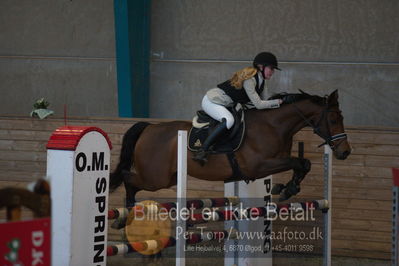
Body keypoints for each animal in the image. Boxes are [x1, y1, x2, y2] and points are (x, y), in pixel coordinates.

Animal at [108, 90, 350, 206]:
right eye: (333, 118)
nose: (345, 152)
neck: (274, 126)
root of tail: (149, 127)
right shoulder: (258, 166)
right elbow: (300, 162)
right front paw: (287, 189)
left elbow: (303, 163)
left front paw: (287, 188)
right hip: (155, 178)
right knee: (129, 178)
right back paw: (127, 209)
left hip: (168, 178)